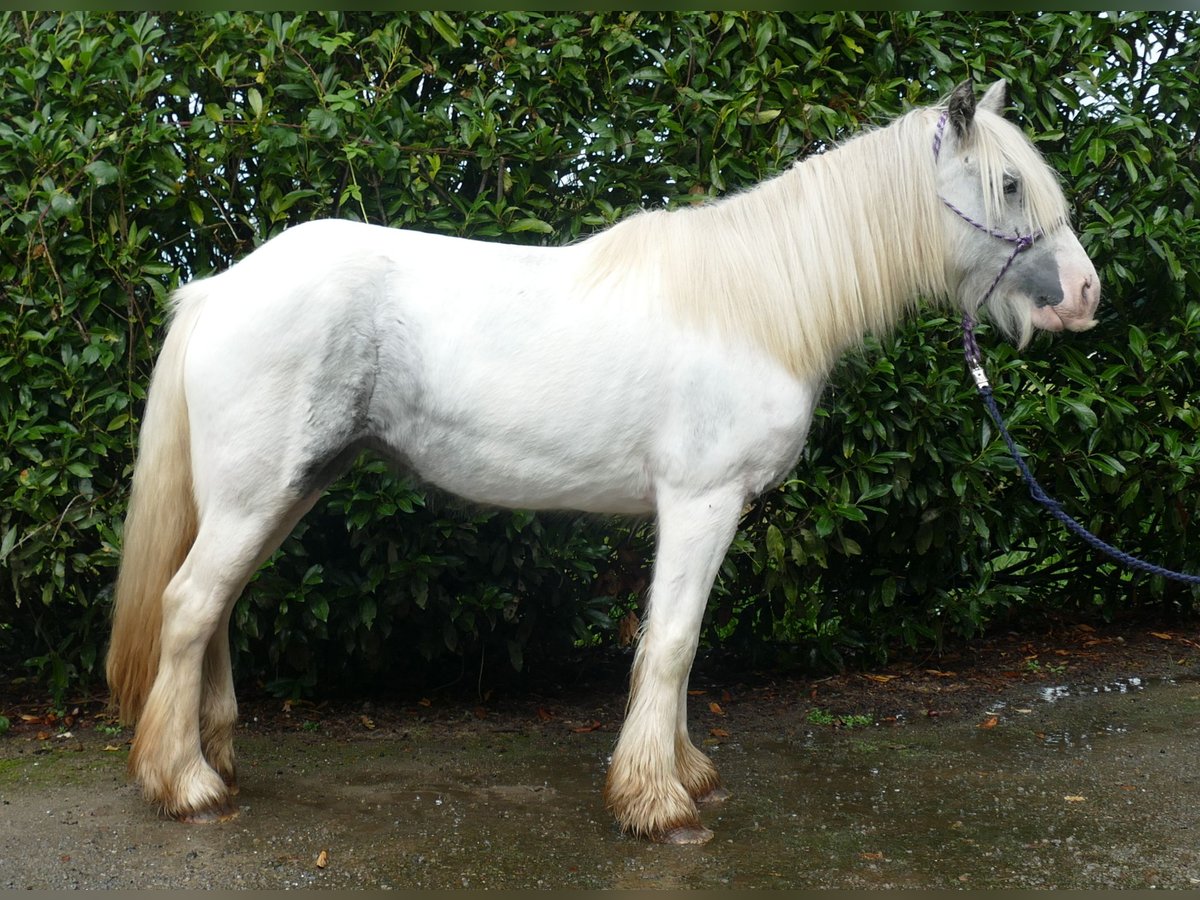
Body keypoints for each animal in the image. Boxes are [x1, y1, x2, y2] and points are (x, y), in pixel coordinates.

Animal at [110, 77, 1099, 844]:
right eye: (1010, 183)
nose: (1086, 295)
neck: (755, 304)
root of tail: (217, 288)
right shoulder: (701, 501)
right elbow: (673, 641)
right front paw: (658, 804)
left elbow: (680, 647)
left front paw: (684, 773)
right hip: (257, 495)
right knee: (190, 605)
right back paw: (185, 786)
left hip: (282, 491)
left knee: (215, 608)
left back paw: (214, 759)